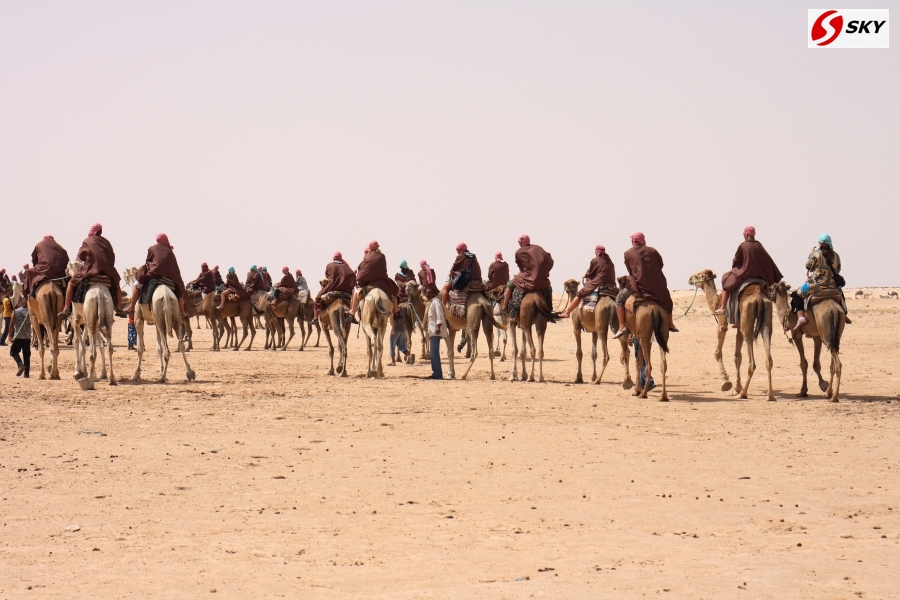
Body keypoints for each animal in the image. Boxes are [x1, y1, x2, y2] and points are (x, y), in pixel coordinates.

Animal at [688, 270, 772, 400]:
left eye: (697, 275)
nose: (690, 279)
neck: (716, 303)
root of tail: (759, 296)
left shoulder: (722, 324)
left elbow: (717, 352)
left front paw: (726, 382)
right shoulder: (738, 327)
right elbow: (737, 357)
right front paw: (736, 388)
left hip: (747, 320)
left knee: (752, 363)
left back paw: (743, 394)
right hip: (766, 316)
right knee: (768, 357)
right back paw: (770, 396)